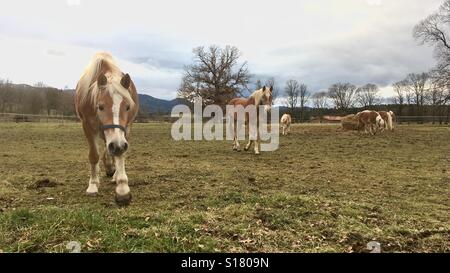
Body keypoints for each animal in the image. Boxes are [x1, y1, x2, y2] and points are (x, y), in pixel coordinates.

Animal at [74, 52, 139, 205]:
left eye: (127, 106)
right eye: (100, 106)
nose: (117, 144)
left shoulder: (125, 129)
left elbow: (120, 154)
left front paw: (122, 188)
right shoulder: (87, 126)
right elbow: (94, 155)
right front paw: (93, 185)